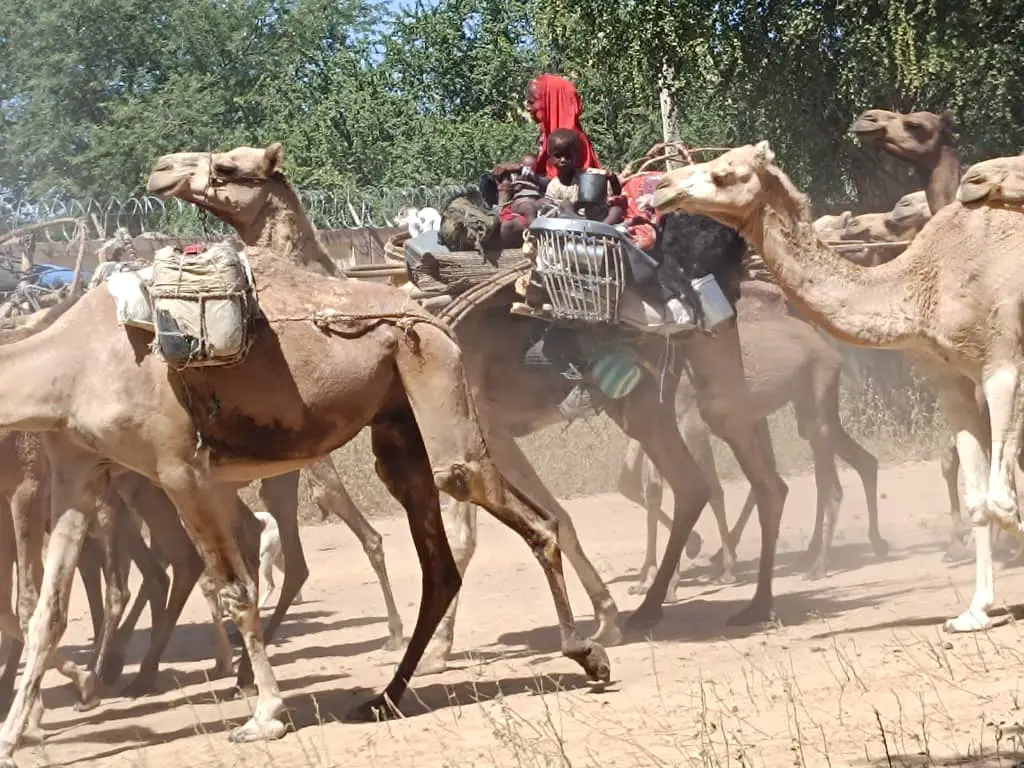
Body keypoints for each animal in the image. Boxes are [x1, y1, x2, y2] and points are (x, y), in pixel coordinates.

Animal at [0, 144, 614, 765]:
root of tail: (432, 315)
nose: (161, 169)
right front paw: (17, 730)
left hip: (435, 375)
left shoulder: (180, 468)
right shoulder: (79, 470)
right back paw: (385, 696)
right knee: (438, 560)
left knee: (497, 499)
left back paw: (587, 651)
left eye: (229, 168)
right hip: (397, 425)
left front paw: (265, 715)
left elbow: (234, 588)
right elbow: (49, 610)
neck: (74, 360)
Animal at [614, 280, 880, 589]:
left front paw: (689, 573)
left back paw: (819, 562)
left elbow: (705, 489)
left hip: (813, 401)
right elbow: (651, 489)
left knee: (816, 479)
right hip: (797, 409)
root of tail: (829, 349)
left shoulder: (691, 424)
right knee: (838, 466)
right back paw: (867, 543)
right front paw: (655, 575)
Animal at [651, 140, 1024, 638]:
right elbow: (979, 497)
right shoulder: (953, 381)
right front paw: (975, 611)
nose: (663, 186)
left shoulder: (1003, 363)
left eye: (725, 173)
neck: (921, 283)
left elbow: (1001, 497)